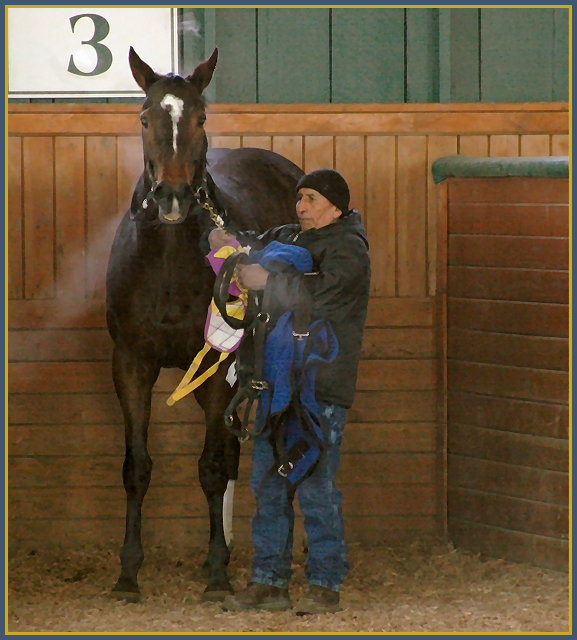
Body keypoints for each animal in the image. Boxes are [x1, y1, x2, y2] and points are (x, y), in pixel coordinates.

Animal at [104, 47, 302, 604]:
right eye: (144, 116)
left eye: (201, 118)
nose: (171, 196)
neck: (169, 259)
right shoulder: (131, 364)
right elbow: (136, 467)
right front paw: (128, 574)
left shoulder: (217, 367)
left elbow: (211, 467)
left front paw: (216, 575)